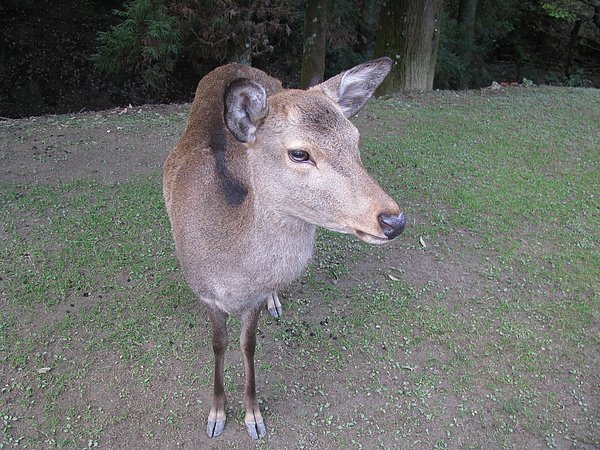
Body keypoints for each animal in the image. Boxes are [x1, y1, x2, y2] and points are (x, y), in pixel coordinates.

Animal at [164, 57, 406, 440]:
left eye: (355, 139)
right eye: (299, 153)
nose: (394, 220)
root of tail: (234, 63)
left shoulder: (253, 299)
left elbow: (248, 345)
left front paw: (253, 416)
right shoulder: (206, 294)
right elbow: (219, 344)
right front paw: (217, 415)